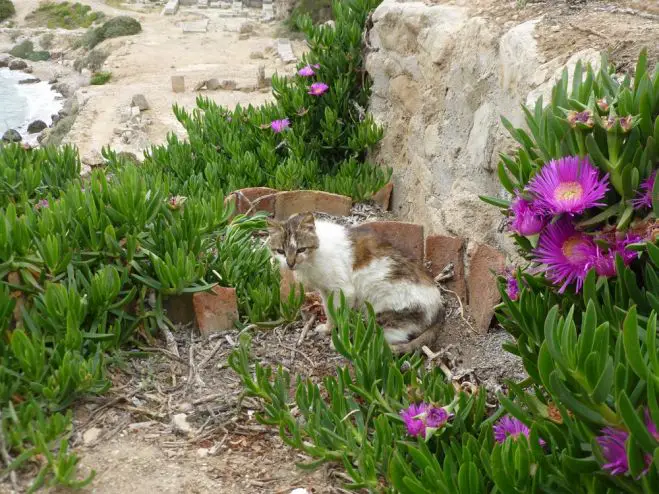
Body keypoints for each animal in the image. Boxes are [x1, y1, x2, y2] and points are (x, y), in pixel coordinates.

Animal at [266, 212, 446, 356]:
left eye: (301, 249)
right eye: (281, 251)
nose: (290, 263)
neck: (315, 254)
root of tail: (439, 307)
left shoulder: (344, 291)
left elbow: (341, 316)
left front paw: (338, 338)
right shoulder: (326, 291)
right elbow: (329, 311)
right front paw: (328, 328)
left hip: (382, 314)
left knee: (384, 338)